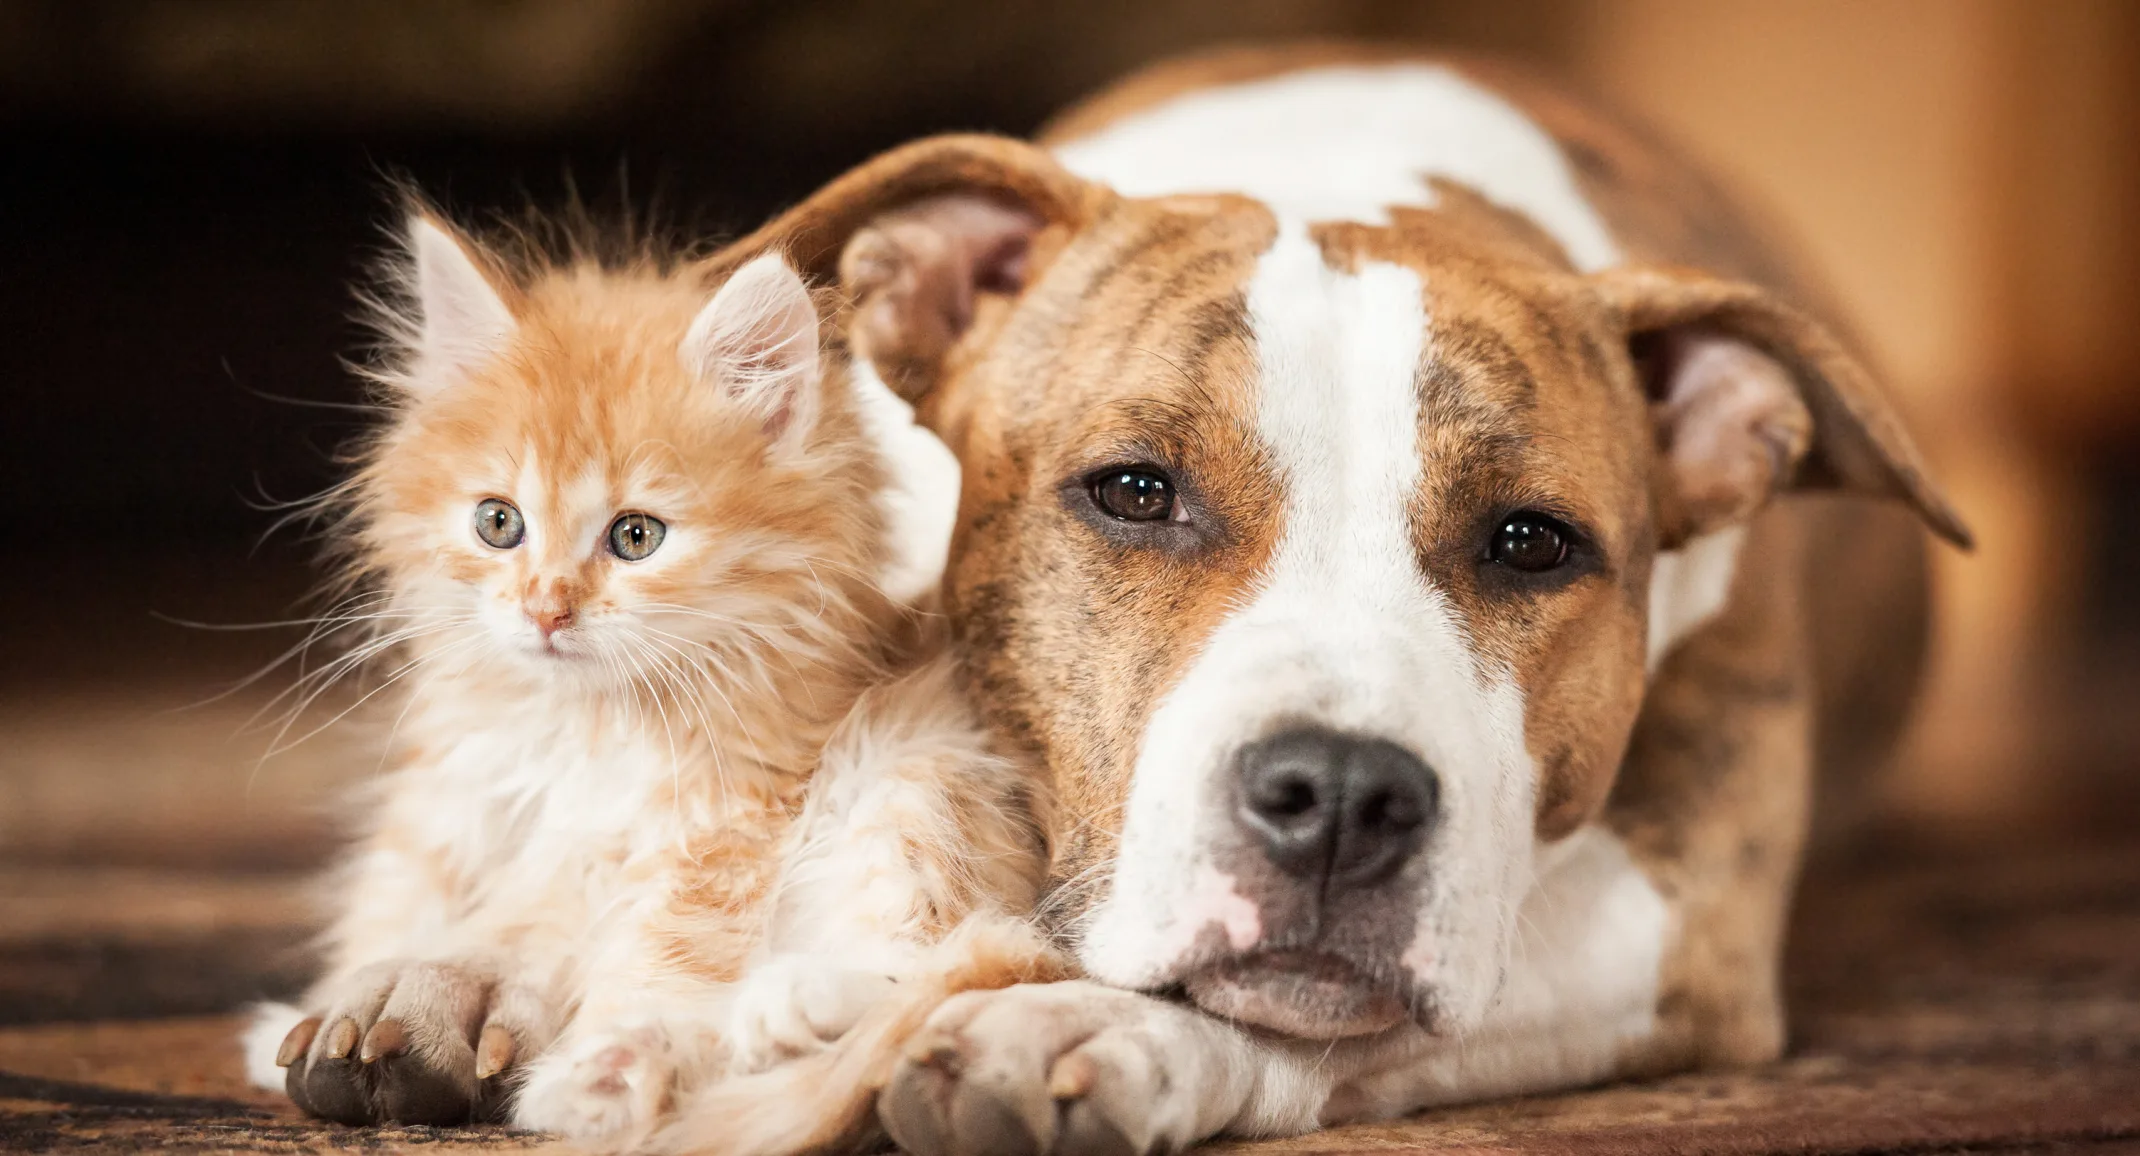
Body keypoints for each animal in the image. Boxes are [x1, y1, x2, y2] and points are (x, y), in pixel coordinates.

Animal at [240, 207, 1044, 1138]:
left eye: (635, 537)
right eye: (497, 523)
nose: (546, 610)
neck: (582, 727)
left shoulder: (732, 819)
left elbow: (665, 946)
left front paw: (602, 1070)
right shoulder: (451, 807)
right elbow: (410, 911)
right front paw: (336, 1008)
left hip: (924, 772)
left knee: (953, 956)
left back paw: (781, 1010)